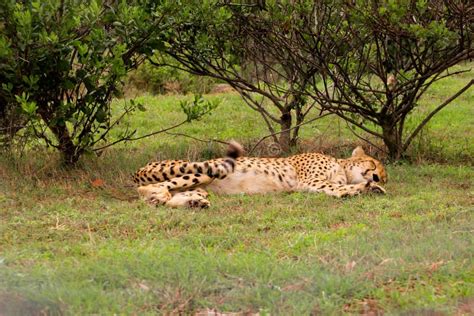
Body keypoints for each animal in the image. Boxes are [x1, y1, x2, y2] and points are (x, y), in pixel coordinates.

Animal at [132, 143, 386, 207]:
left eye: (384, 176)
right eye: (373, 163)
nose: (377, 178)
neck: (342, 168)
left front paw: (374, 189)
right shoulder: (310, 181)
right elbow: (337, 188)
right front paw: (363, 188)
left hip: (201, 184)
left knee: (172, 194)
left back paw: (194, 202)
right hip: (206, 171)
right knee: (147, 190)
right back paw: (158, 195)